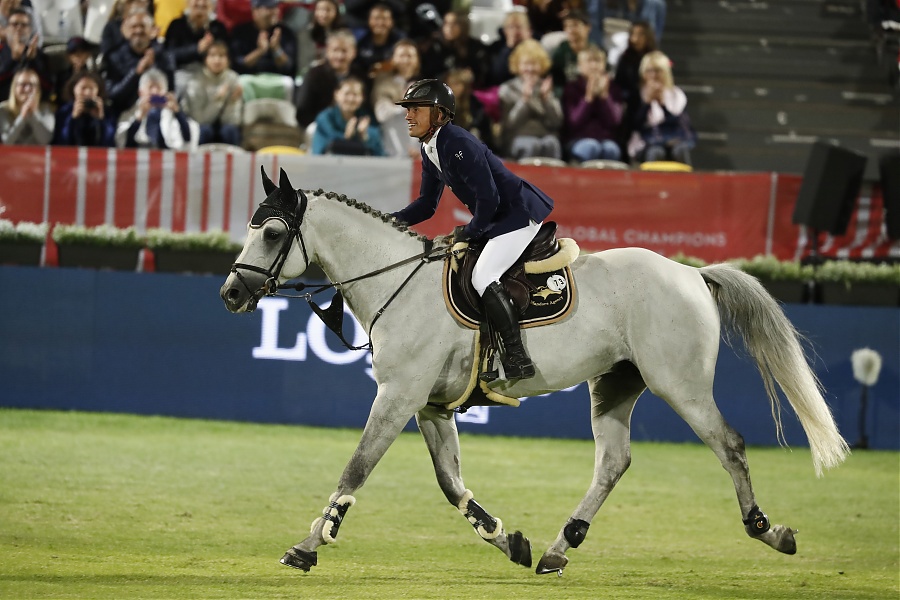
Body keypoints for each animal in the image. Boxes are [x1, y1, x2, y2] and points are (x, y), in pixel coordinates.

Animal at [220, 169, 852, 576]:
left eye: (271, 233)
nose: (231, 293)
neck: (396, 280)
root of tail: (692, 274)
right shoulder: (430, 407)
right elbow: (452, 486)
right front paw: (509, 541)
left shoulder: (397, 398)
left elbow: (355, 469)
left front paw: (308, 545)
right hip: (614, 385)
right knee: (613, 462)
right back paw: (557, 548)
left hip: (681, 385)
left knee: (730, 445)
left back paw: (768, 530)